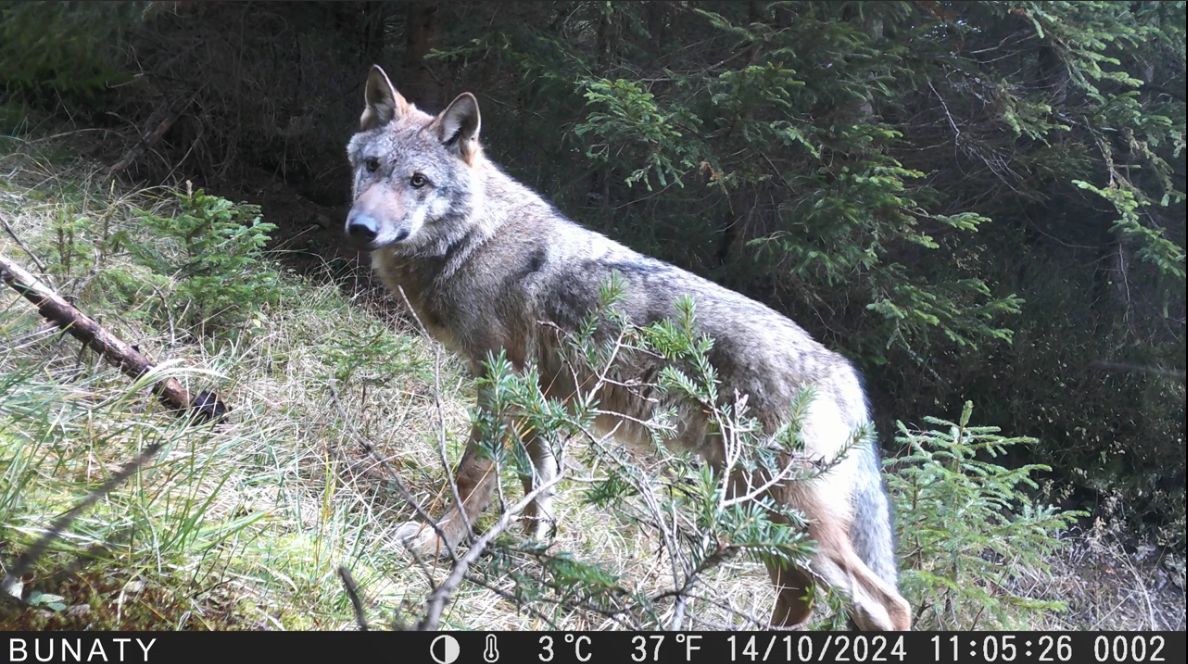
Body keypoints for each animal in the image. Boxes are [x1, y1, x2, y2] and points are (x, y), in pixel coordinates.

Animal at [343, 65, 912, 631]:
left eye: (418, 181)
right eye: (372, 167)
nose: (361, 229)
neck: (473, 241)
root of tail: (839, 368)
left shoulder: (500, 385)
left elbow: (472, 476)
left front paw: (435, 542)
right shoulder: (537, 400)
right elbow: (540, 483)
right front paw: (534, 552)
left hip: (783, 513)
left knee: (889, 605)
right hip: (759, 513)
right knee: (801, 595)